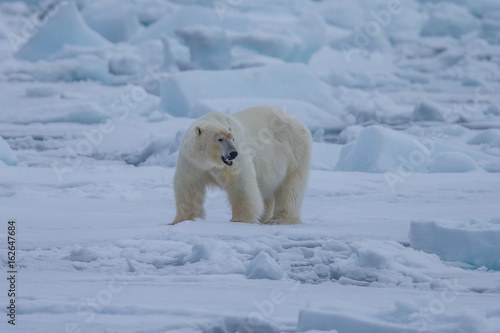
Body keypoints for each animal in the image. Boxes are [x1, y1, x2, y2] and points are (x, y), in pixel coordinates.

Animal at [173, 105, 312, 226]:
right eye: (220, 139)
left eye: (232, 139)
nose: (233, 153)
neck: (210, 163)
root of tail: (300, 123)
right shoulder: (192, 162)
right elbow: (189, 187)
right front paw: (180, 220)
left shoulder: (235, 161)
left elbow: (241, 184)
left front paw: (240, 220)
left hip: (295, 153)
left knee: (291, 187)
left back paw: (278, 219)